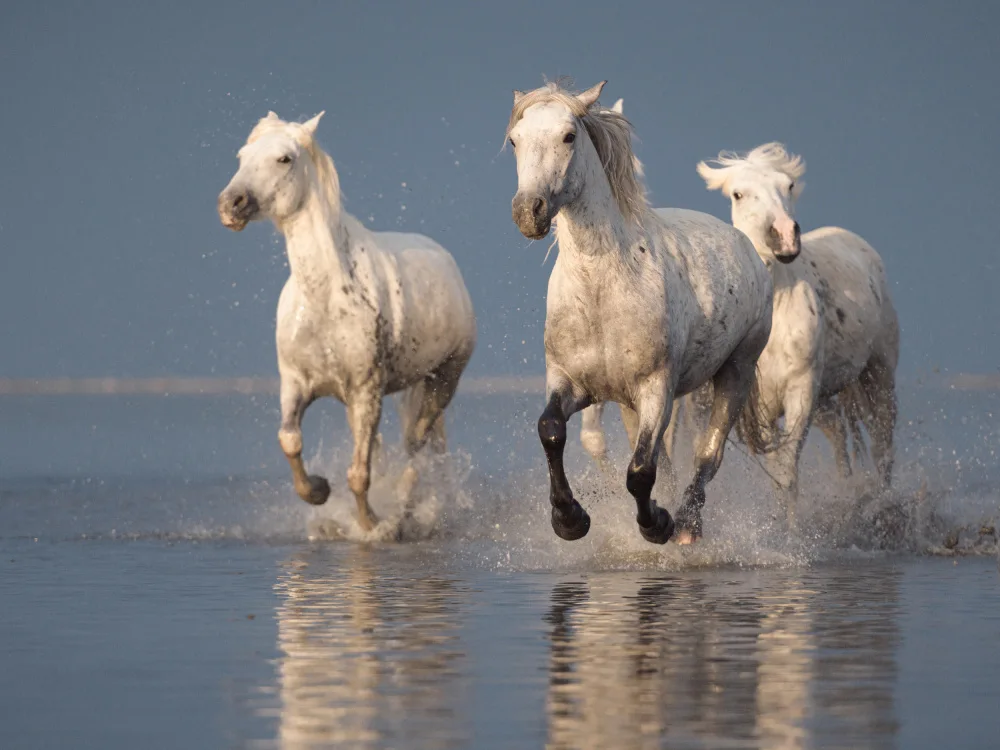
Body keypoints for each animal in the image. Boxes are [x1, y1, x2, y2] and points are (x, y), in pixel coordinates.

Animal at [217, 111, 476, 534]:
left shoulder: (367, 391)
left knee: (417, 445)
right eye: (241, 155)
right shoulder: (296, 383)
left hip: (444, 379)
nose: (230, 204)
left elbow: (359, 474)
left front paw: (373, 525)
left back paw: (407, 506)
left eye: (284, 158)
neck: (325, 299)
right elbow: (290, 439)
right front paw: (319, 490)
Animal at [507, 81, 775, 544]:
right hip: (631, 402)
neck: (600, 292)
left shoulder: (656, 391)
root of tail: (747, 247)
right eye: (514, 140)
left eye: (568, 136)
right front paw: (569, 519)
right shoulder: (572, 383)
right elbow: (551, 431)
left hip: (737, 370)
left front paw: (657, 524)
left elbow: (640, 471)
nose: (529, 211)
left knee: (708, 455)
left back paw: (686, 526)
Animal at [691, 143, 899, 526]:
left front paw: (791, 531)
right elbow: (778, 471)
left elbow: (786, 471)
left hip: (878, 375)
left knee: (882, 445)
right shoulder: (762, 404)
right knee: (841, 435)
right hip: (830, 397)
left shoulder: (801, 392)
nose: (785, 236)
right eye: (738, 194)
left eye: (787, 185)